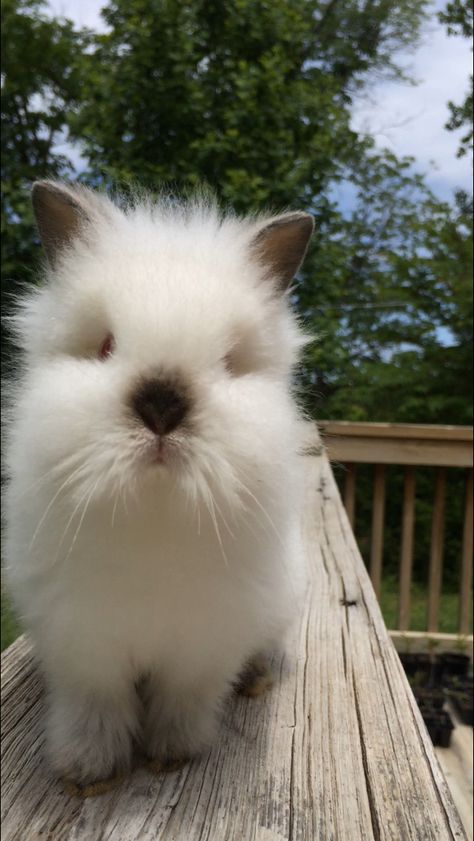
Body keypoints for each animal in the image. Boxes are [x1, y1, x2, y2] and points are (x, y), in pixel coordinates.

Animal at [3, 180, 314, 792]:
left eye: (229, 360)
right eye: (104, 346)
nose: (162, 405)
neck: (155, 512)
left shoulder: (206, 643)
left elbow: (184, 698)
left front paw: (172, 754)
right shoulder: (83, 643)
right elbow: (95, 706)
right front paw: (87, 769)